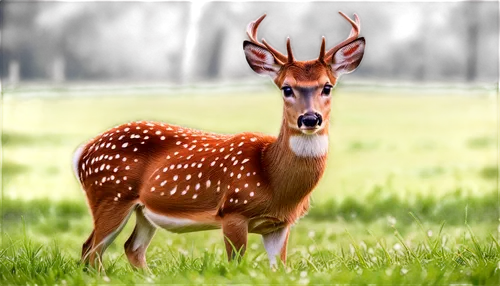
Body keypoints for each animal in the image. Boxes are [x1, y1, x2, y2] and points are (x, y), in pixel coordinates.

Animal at [71, 10, 368, 270]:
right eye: (286, 88)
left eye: (327, 87)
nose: (309, 119)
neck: (273, 178)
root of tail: (82, 152)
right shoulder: (233, 210)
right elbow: (235, 264)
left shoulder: (280, 224)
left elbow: (280, 269)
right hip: (110, 194)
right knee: (91, 250)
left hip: (142, 210)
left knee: (130, 248)